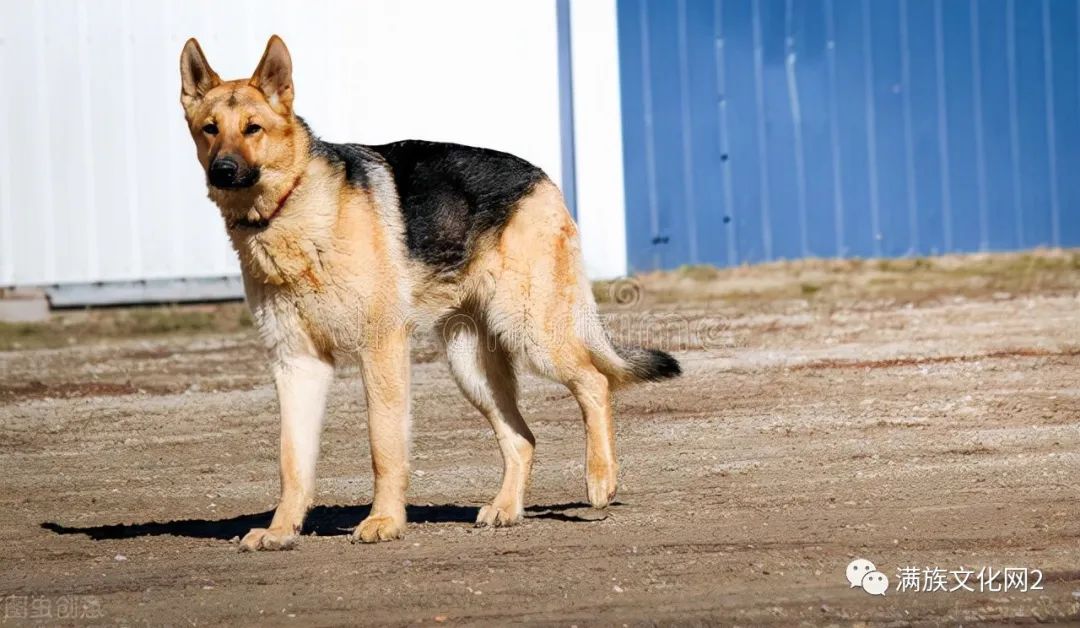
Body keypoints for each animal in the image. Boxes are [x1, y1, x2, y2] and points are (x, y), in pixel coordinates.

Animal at [180, 34, 678, 549]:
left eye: (253, 129)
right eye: (210, 129)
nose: (223, 171)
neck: (291, 207)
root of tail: (542, 178)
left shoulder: (380, 350)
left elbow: (383, 445)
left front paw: (384, 520)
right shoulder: (297, 364)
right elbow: (292, 461)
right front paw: (282, 529)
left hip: (532, 333)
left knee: (595, 382)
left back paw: (600, 478)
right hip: (471, 367)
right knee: (522, 438)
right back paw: (506, 508)